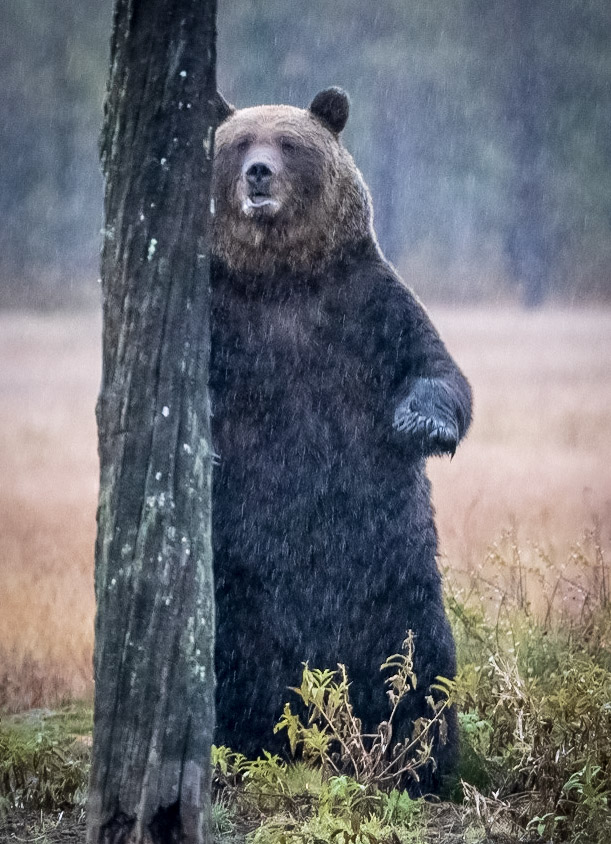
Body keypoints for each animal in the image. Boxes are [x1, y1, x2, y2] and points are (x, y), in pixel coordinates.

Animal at [210, 87, 474, 792]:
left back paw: (420, 758)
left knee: (418, 659)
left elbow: (437, 369)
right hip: (235, 577)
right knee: (229, 658)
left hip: (395, 570)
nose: (259, 175)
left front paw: (424, 423)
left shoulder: (366, 307)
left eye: (287, 142)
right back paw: (240, 749)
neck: (282, 280)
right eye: (236, 144)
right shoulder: (224, 319)